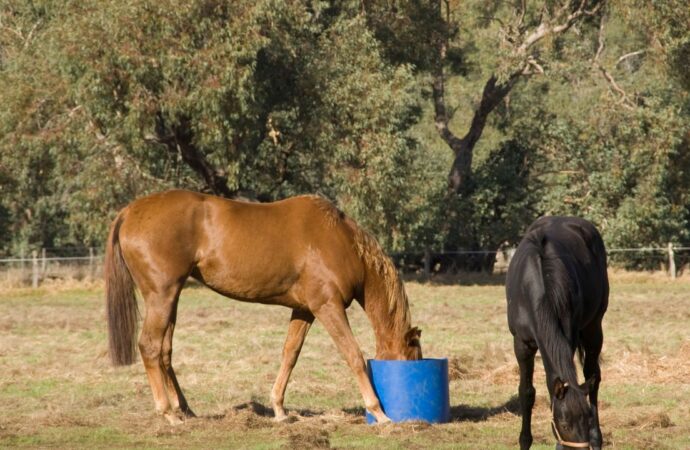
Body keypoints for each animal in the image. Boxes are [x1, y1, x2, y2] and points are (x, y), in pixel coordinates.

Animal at [105, 190, 422, 426]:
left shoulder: (305, 310)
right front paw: (379, 413)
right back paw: (168, 414)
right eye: (413, 360)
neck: (341, 241)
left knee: (164, 351)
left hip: (171, 298)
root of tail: (129, 212)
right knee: (149, 347)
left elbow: (290, 354)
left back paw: (185, 410)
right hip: (162, 295)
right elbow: (353, 355)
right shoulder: (327, 307)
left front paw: (280, 410)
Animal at [506, 216, 608, 448]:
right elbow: (527, 393)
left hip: (593, 328)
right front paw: (525, 441)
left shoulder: (568, 338)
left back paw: (597, 439)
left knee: (593, 377)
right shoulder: (521, 345)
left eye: (587, 418)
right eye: (564, 424)